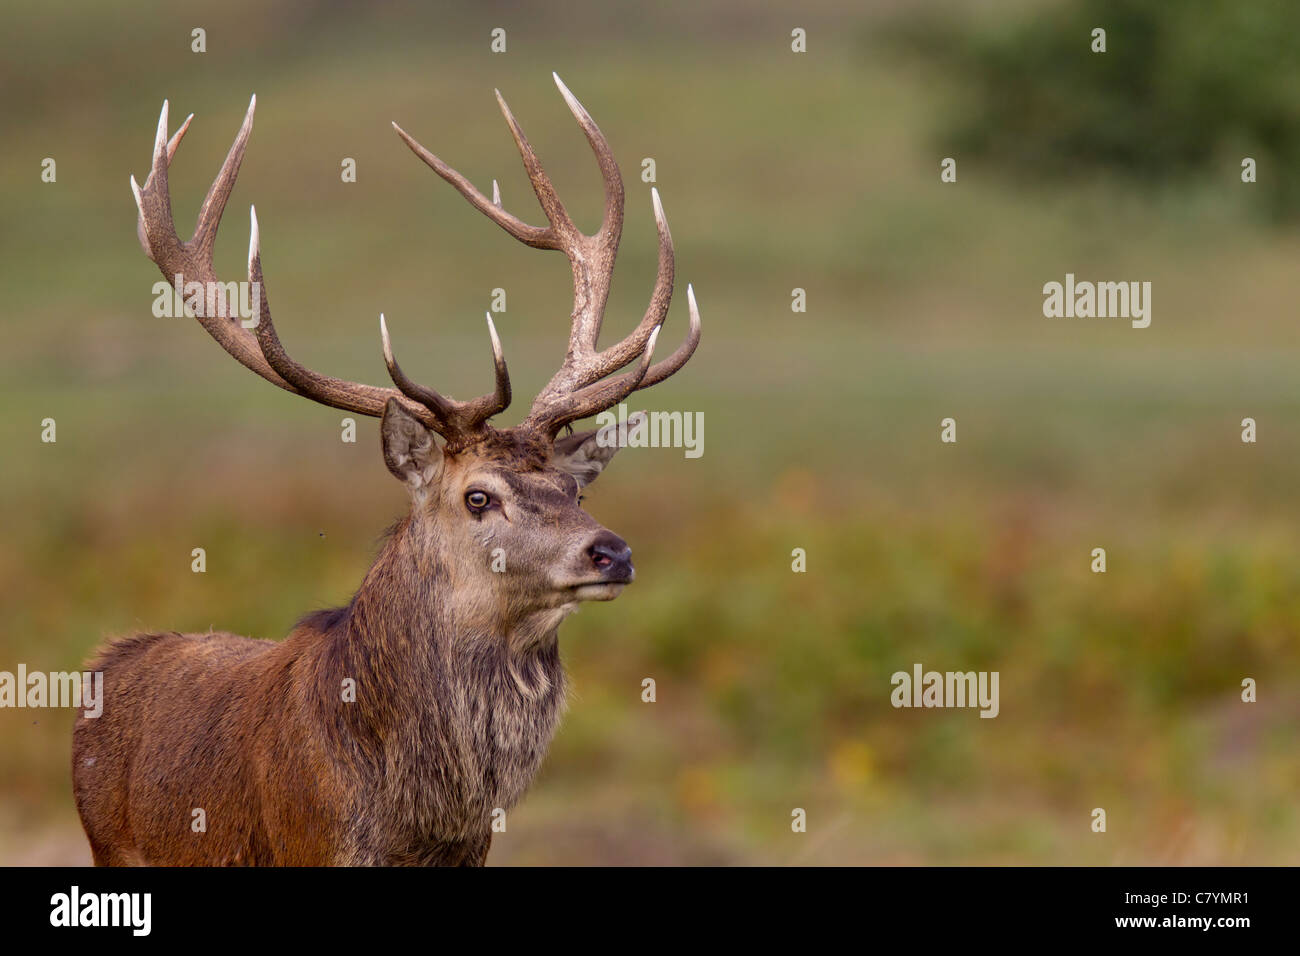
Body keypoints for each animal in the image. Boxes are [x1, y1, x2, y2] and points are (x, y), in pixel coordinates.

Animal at [71, 76, 702, 868]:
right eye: (477, 497)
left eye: (574, 488)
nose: (612, 552)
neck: (413, 824)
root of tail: (106, 664)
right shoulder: (307, 843)